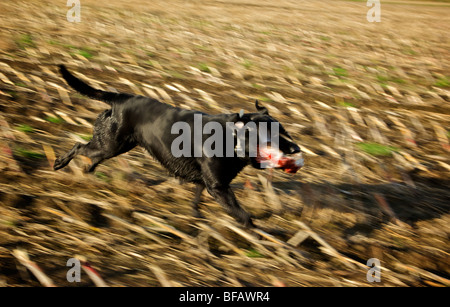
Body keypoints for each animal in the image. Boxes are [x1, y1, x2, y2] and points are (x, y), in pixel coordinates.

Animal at [55, 65, 302, 229]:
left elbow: (197, 197)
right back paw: (60, 163)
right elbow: (243, 215)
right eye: (271, 135)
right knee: (79, 146)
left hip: (115, 145)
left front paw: (195, 215)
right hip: (111, 144)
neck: (232, 138)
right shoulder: (219, 187)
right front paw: (260, 237)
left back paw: (87, 172)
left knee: (91, 153)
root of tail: (120, 99)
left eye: (285, 132)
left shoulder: (208, 182)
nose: (296, 149)